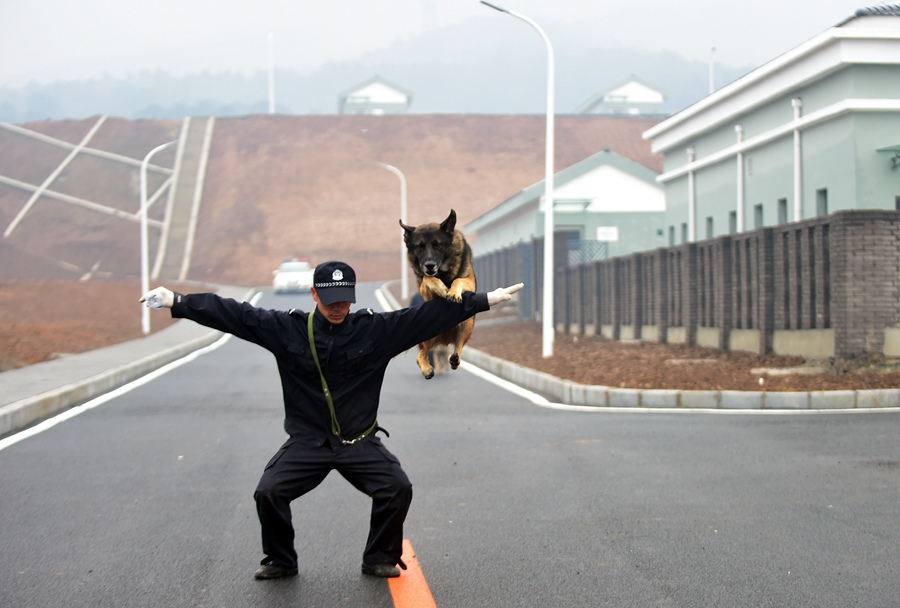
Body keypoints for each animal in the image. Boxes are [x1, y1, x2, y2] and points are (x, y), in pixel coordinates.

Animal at [400, 210, 478, 380]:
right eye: (420, 247)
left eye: (437, 245)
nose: (429, 265)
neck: (443, 273)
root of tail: (445, 338)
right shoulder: (425, 289)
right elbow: (428, 278)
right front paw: (441, 288)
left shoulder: (469, 281)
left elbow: (458, 280)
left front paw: (453, 292)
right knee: (421, 355)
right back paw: (427, 369)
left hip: (467, 323)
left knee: (458, 346)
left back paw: (455, 358)